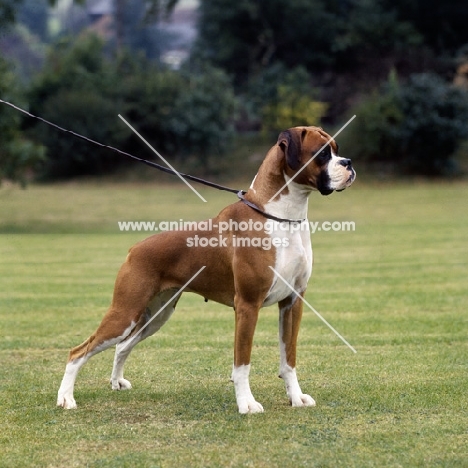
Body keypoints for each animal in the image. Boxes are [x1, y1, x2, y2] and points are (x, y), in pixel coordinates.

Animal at [57, 125, 354, 414]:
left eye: (337, 149)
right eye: (322, 153)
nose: (348, 163)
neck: (280, 216)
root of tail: (135, 248)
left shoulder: (293, 302)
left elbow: (288, 359)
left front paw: (296, 398)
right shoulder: (247, 305)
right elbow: (242, 363)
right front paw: (246, 404)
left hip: (155, 316)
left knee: (121, 346)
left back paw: (116, 382)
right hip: (125, 313)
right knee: (78, 352)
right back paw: (66, 399)